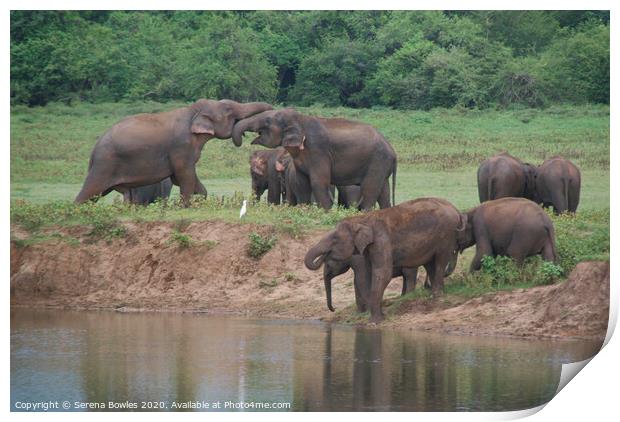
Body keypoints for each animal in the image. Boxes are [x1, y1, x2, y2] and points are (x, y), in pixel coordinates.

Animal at [75, 97, 274, 206]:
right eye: (229, 111)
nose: (274, 108)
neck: (192, 111)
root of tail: (94, 150)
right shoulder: (181, 147)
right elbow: (185, 175)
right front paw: (185, 206)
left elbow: (181, 178)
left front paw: (200, 200)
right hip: (105, 165)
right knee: (89, 192)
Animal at [232, 107, 398, 209]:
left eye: (267, 121)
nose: (243, 136)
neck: (300, 118)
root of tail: (393, 152)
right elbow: (302, 183)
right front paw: (304, 210)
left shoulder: (318, 151)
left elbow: (319, 182)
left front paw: (325, 213)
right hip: (381, 165)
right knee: (383, 191)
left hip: (378, 161)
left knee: (370, 189)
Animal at [306, 198, 464, 324]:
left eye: (334, 239)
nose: (334, 309)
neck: (362, 219)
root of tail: (455, 209)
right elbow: (368, 275)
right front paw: (375, 316)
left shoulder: (381, 242)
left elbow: (380, 274)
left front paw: (374, 321)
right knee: (430, 265)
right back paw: (432, 295)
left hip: (446, 234)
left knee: (438, 262)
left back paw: (434, 296)